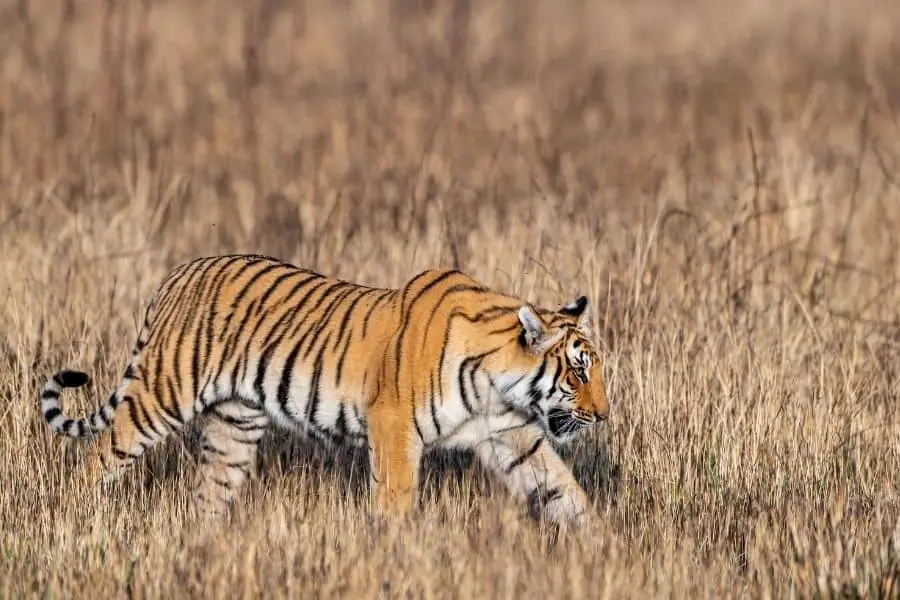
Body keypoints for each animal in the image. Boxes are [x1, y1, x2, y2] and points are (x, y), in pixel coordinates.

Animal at [39, 254, 610, 531]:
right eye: (578, 373)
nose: (604, 416)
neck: (497, 385)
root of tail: (180, 273)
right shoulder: (393, 427)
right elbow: (396, 499)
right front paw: (395, 549)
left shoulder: (512, 438)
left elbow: (565, 491)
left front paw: (603, 549)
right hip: (163, 394)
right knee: (99, 455)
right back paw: (72, 514)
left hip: (235, 425)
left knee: (209, 492)